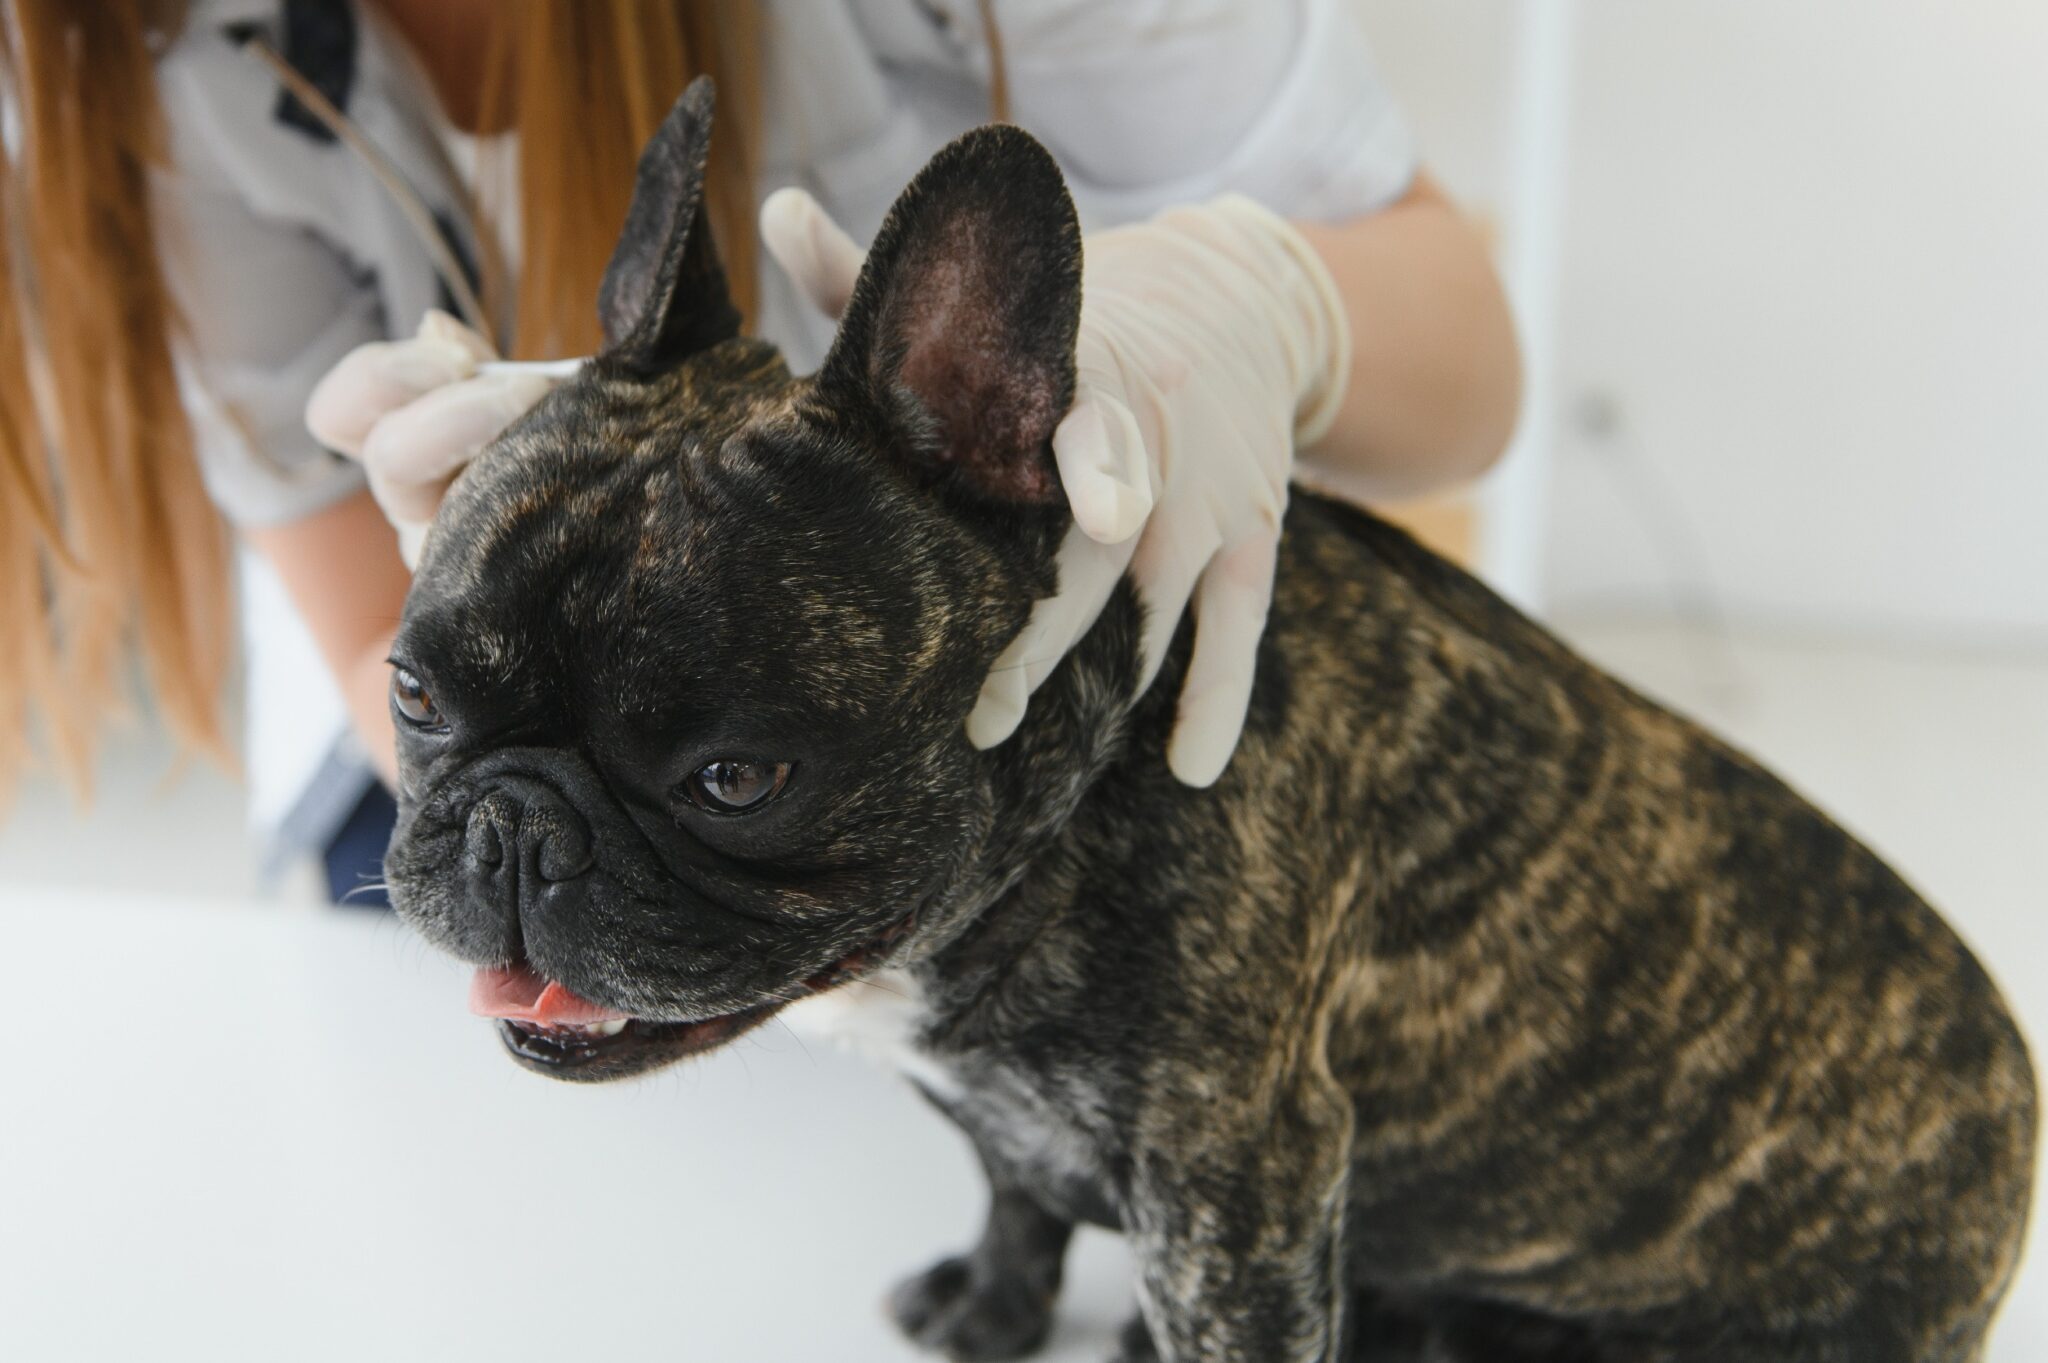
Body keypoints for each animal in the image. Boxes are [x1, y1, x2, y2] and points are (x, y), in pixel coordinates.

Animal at [380, 84, 2031, 1358]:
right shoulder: (1011, 1117)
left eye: (736, 778)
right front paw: (993, 1305)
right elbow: (1016, 1193)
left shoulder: (1243, 1184)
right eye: (414, 694)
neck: (1070, 812)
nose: (514, 826)